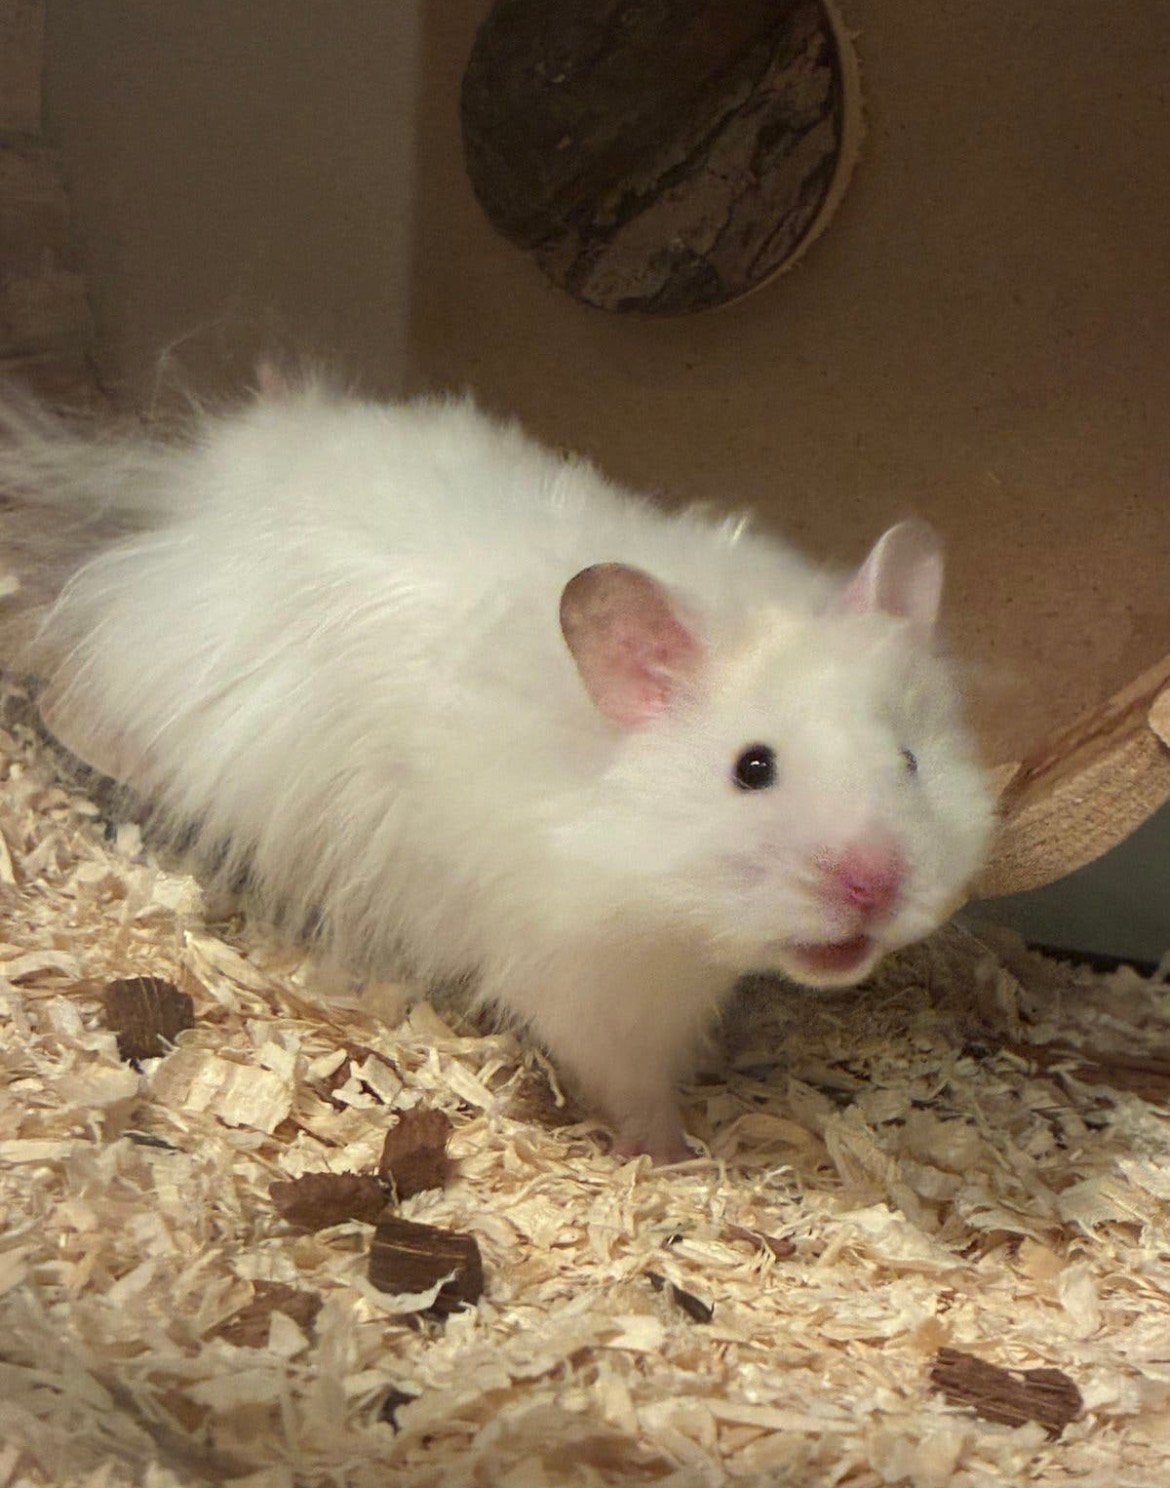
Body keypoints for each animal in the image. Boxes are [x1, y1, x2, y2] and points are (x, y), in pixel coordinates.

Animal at [0, 378, 994, 1162]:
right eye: (753, 769)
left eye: (910, 760)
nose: (876, 886)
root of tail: (186, 486)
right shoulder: (590, 988)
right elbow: (632, 1086)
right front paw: (672, 1154)